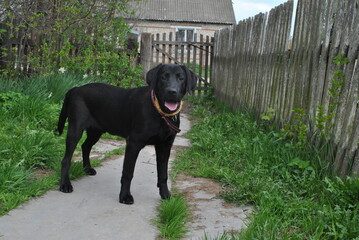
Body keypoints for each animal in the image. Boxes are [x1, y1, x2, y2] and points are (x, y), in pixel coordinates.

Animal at [57, 64, 197, 204]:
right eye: (163, 77)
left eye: (181, 78)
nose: (172, 91)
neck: (160, 112)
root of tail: (76, 89)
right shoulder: (134, 143)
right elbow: (128, 173)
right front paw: (125, 196)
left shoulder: (165, 145)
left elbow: (163, 174)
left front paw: (165, 195)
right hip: (75, 130)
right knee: (66, 159)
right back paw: (65, 184)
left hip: (96, 131)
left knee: (85, 146)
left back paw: (87, 168)